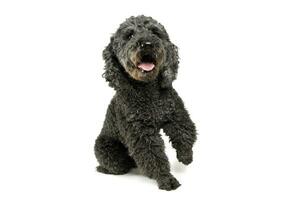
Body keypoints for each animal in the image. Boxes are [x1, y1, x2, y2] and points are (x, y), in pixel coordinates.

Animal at [94, 15, 198, 191]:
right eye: (129, 35)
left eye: (155, 32)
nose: (148, 44)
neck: (149, 93)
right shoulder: (141, 133)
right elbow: (153, 156)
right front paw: (166, 179)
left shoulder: (176, 113)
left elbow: (184, 132)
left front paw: (186, 156)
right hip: (107, 150)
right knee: (117, 166)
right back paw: (104, 168)